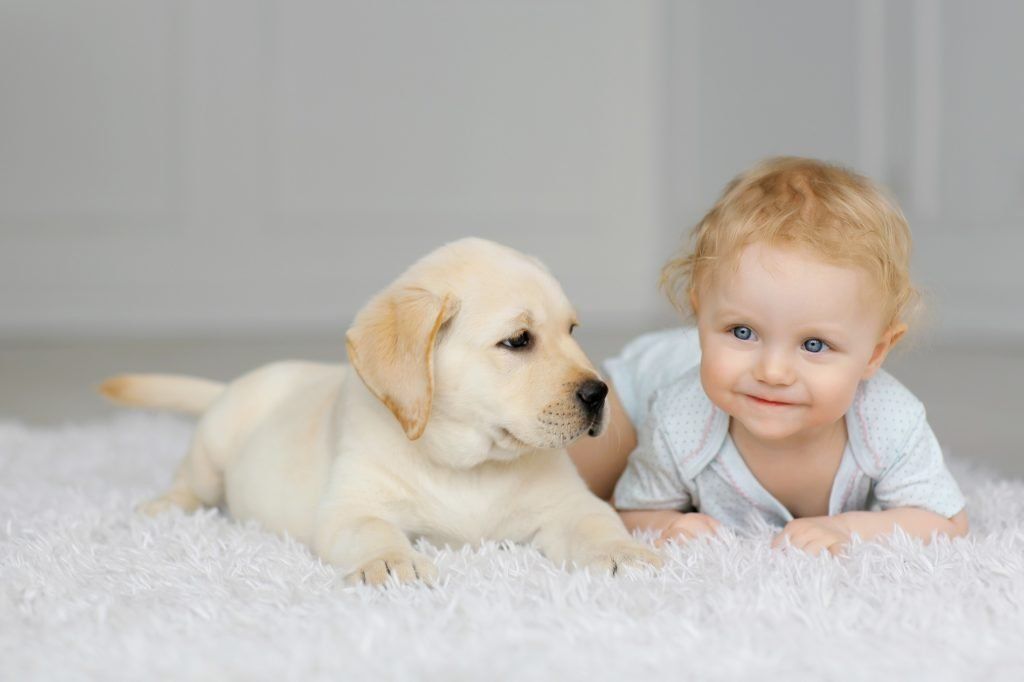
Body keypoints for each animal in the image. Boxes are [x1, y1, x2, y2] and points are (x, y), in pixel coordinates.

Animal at [99, 237, 659, 585]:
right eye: (518, 340)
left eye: (572, 331)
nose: (600, 393)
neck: (469, 466)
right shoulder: (352, 507)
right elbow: (374, 532)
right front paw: (392, 564)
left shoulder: (570, 505)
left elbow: (599, 523)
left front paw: (624, 553)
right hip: (213, 445)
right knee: (190, 482)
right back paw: (162, 508)